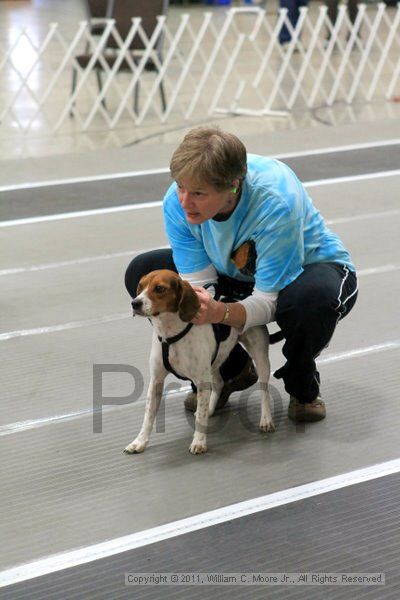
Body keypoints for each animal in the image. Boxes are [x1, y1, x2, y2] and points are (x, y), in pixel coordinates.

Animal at [125, 270, 278, 458]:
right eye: (140, 286)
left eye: (160, 288)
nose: (135, 303)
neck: (170, 333)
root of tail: (238, 300)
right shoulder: (156, 381)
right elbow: (148, 417)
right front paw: (139, 442)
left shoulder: (200, 381)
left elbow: (199, 421)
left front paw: (199, 442)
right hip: (213, 363)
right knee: (218, 383)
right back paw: (211, 409)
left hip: (260, 356)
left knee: (264, 389)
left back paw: (266, 420)